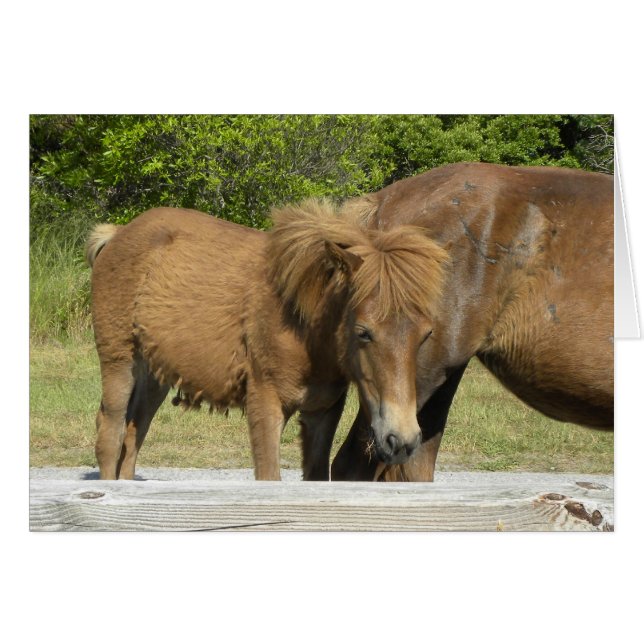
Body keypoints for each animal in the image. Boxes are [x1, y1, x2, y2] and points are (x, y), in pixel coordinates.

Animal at [85, 200, 449, 480]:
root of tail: (117, 234)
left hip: (154, 375)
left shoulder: (321, 414)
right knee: (110, 435)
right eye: (363, 332)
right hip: (119, 362)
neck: (303, 328)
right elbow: (269, 477)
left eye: (426, 335)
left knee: (133, 436)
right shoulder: (266, 405)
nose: (401, 440)